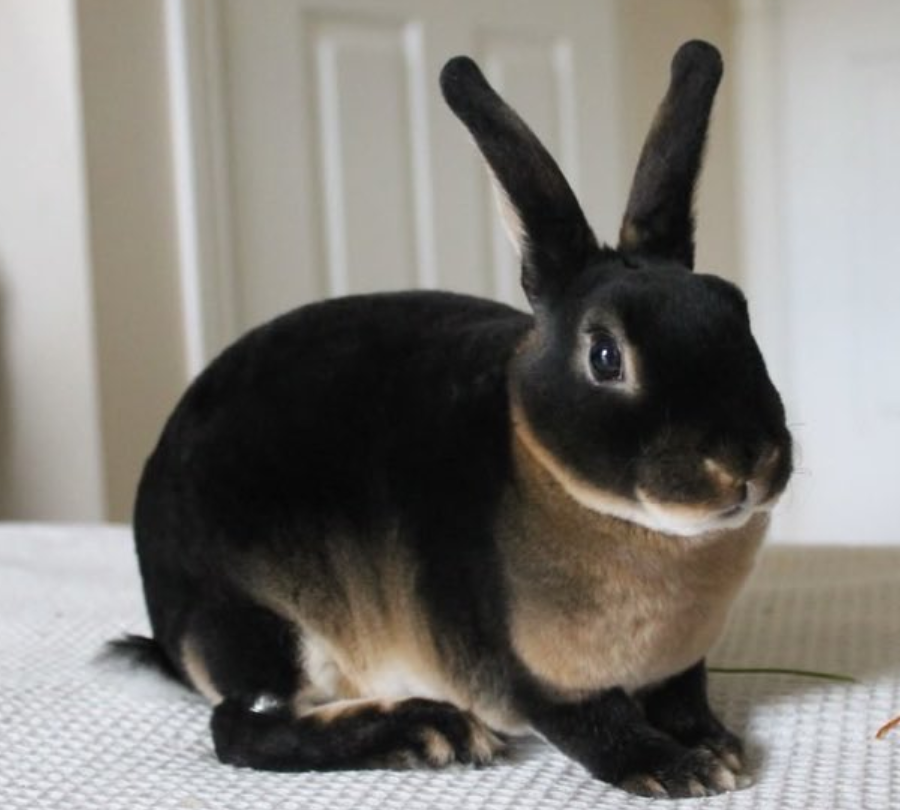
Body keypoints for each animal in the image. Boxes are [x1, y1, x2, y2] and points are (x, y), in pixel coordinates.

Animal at [111, 40, 792, 799]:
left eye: (736, 311)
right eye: (606, 355)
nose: (745, 461)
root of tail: (169, 631)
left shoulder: (678, 667)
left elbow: (684, 699)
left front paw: (716, 744)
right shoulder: (532, 676)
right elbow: (594, 726)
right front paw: (681, 769)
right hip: (258, 624)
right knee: (239, 726)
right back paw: (429, 730)